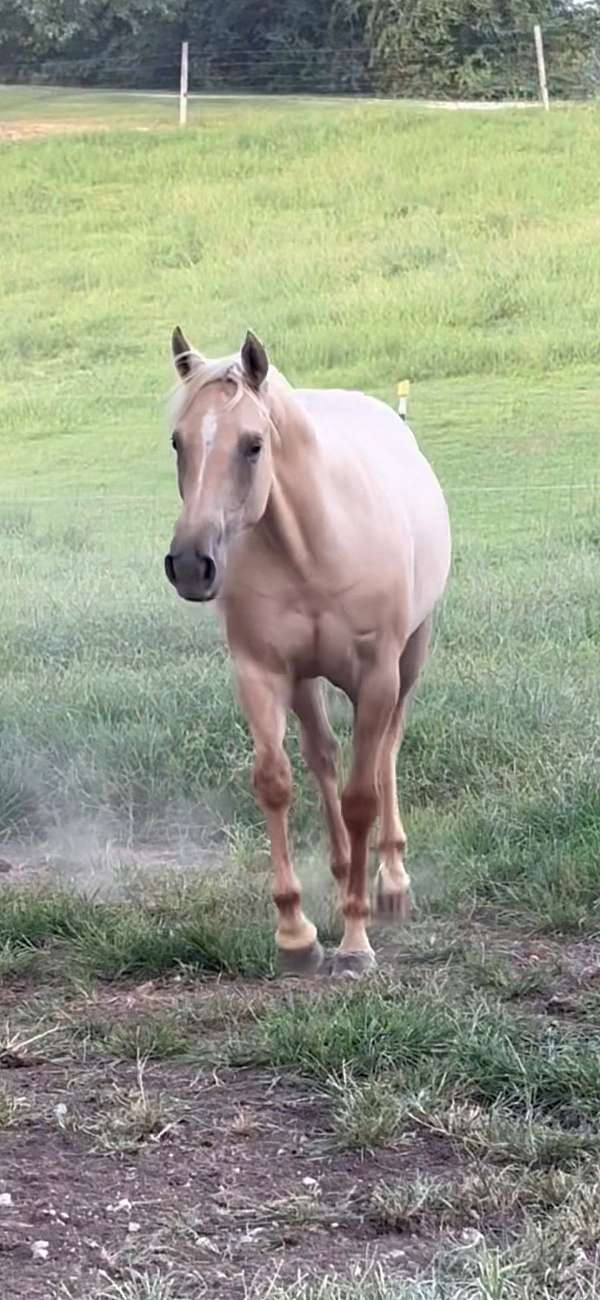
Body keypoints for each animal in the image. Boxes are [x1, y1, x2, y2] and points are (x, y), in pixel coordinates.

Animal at [165, 328, 451, 976]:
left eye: (253, 444)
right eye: (177, 442)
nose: (192, 564)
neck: (314, 543)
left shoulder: (376, 676)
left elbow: (363, 795)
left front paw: (355, 940)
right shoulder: (262, 672)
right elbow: (276, 782)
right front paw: (295, 934)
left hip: (410, 657)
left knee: (386, 752)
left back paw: (391, 883)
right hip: (305, 682)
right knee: (323, 757)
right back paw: (346, 871)